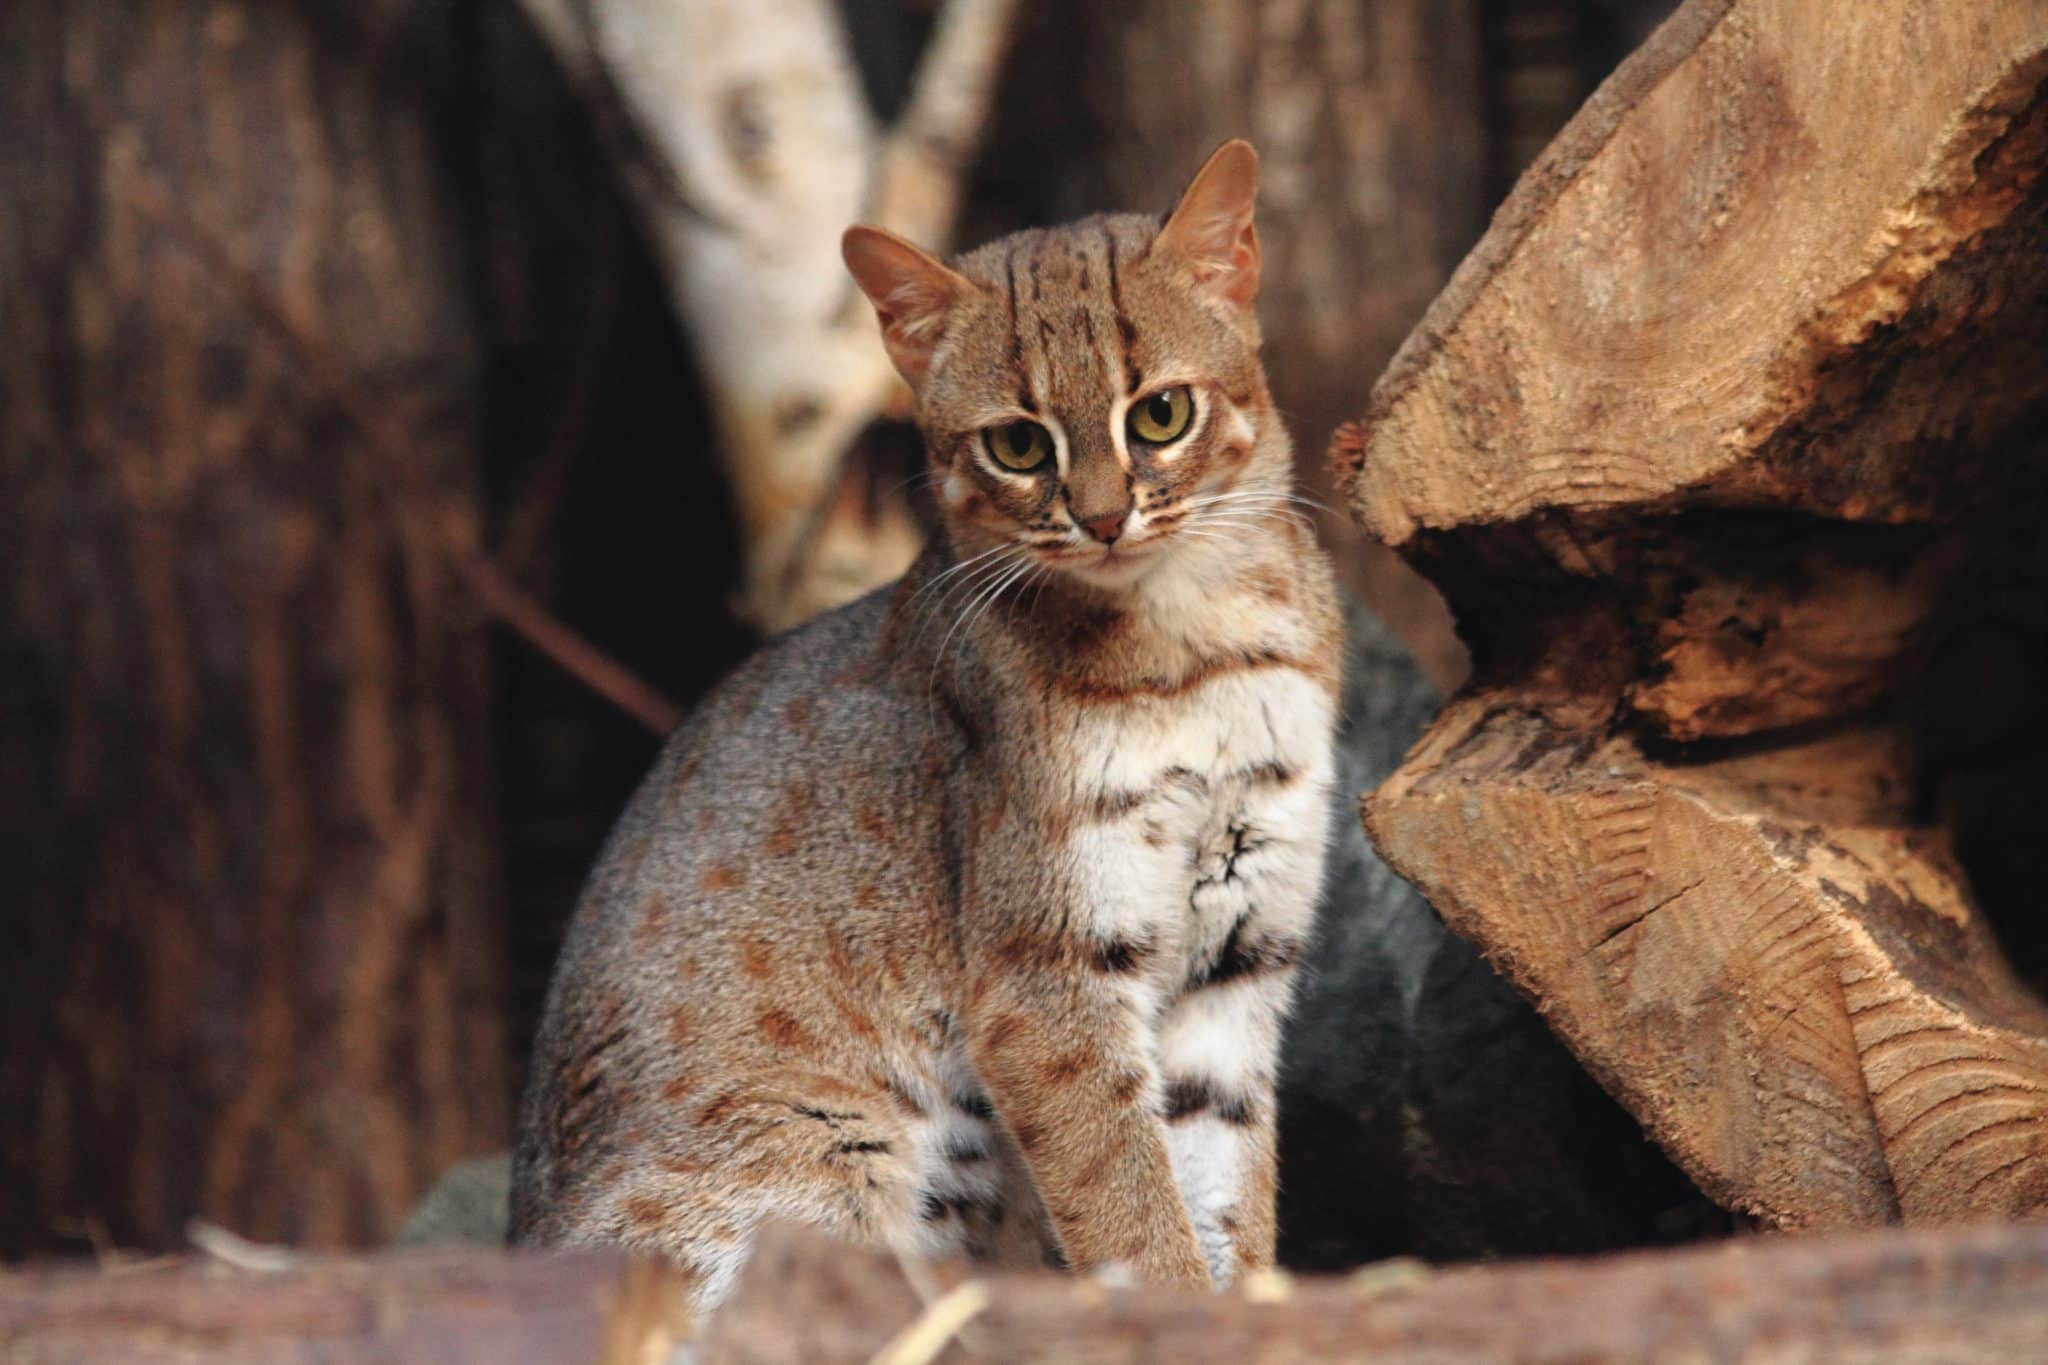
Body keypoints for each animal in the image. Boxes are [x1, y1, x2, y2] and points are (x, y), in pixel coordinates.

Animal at [509, 139, 1343, 1309]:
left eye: (1160, 416)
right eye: (1016, 445)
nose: (1101, 520)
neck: (1199, 645)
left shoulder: (1241, 946)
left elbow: (1223, 1187)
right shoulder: (1041, 981)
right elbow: (1131, 1203)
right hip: (830, 1149)